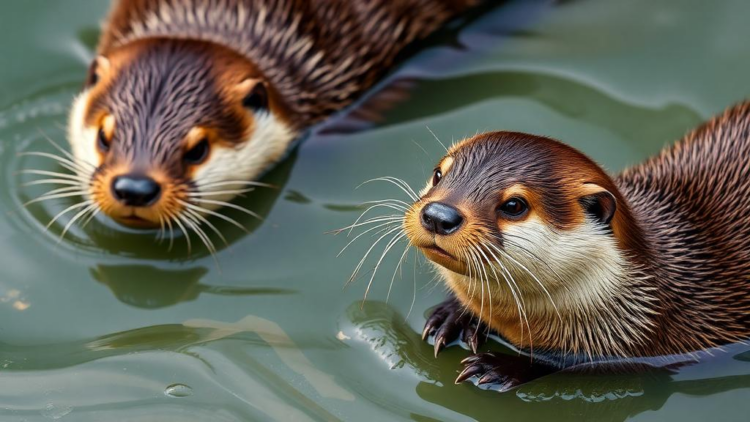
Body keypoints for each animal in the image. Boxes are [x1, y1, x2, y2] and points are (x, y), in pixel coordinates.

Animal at [394, 102, 750, 391]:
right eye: (438, 174)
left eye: (514, 205)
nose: (438, 215)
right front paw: (451, 315)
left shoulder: (643, 337)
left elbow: (582, 364)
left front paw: (499, 366)